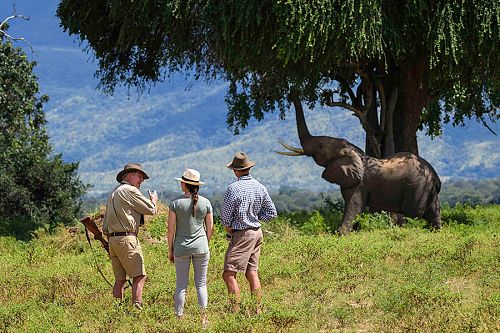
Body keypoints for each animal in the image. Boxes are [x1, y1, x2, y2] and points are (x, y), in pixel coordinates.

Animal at [278, 97, 442, 235]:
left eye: (320, 146)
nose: (293, 91)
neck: (354, 152)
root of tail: (436, 178)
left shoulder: (359, 184)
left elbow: (355, 206)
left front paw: (340, 234)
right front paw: (354, 231)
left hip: (417, 187)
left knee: (414, 213)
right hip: (426, 188)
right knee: (433, 210)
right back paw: (436, 231)